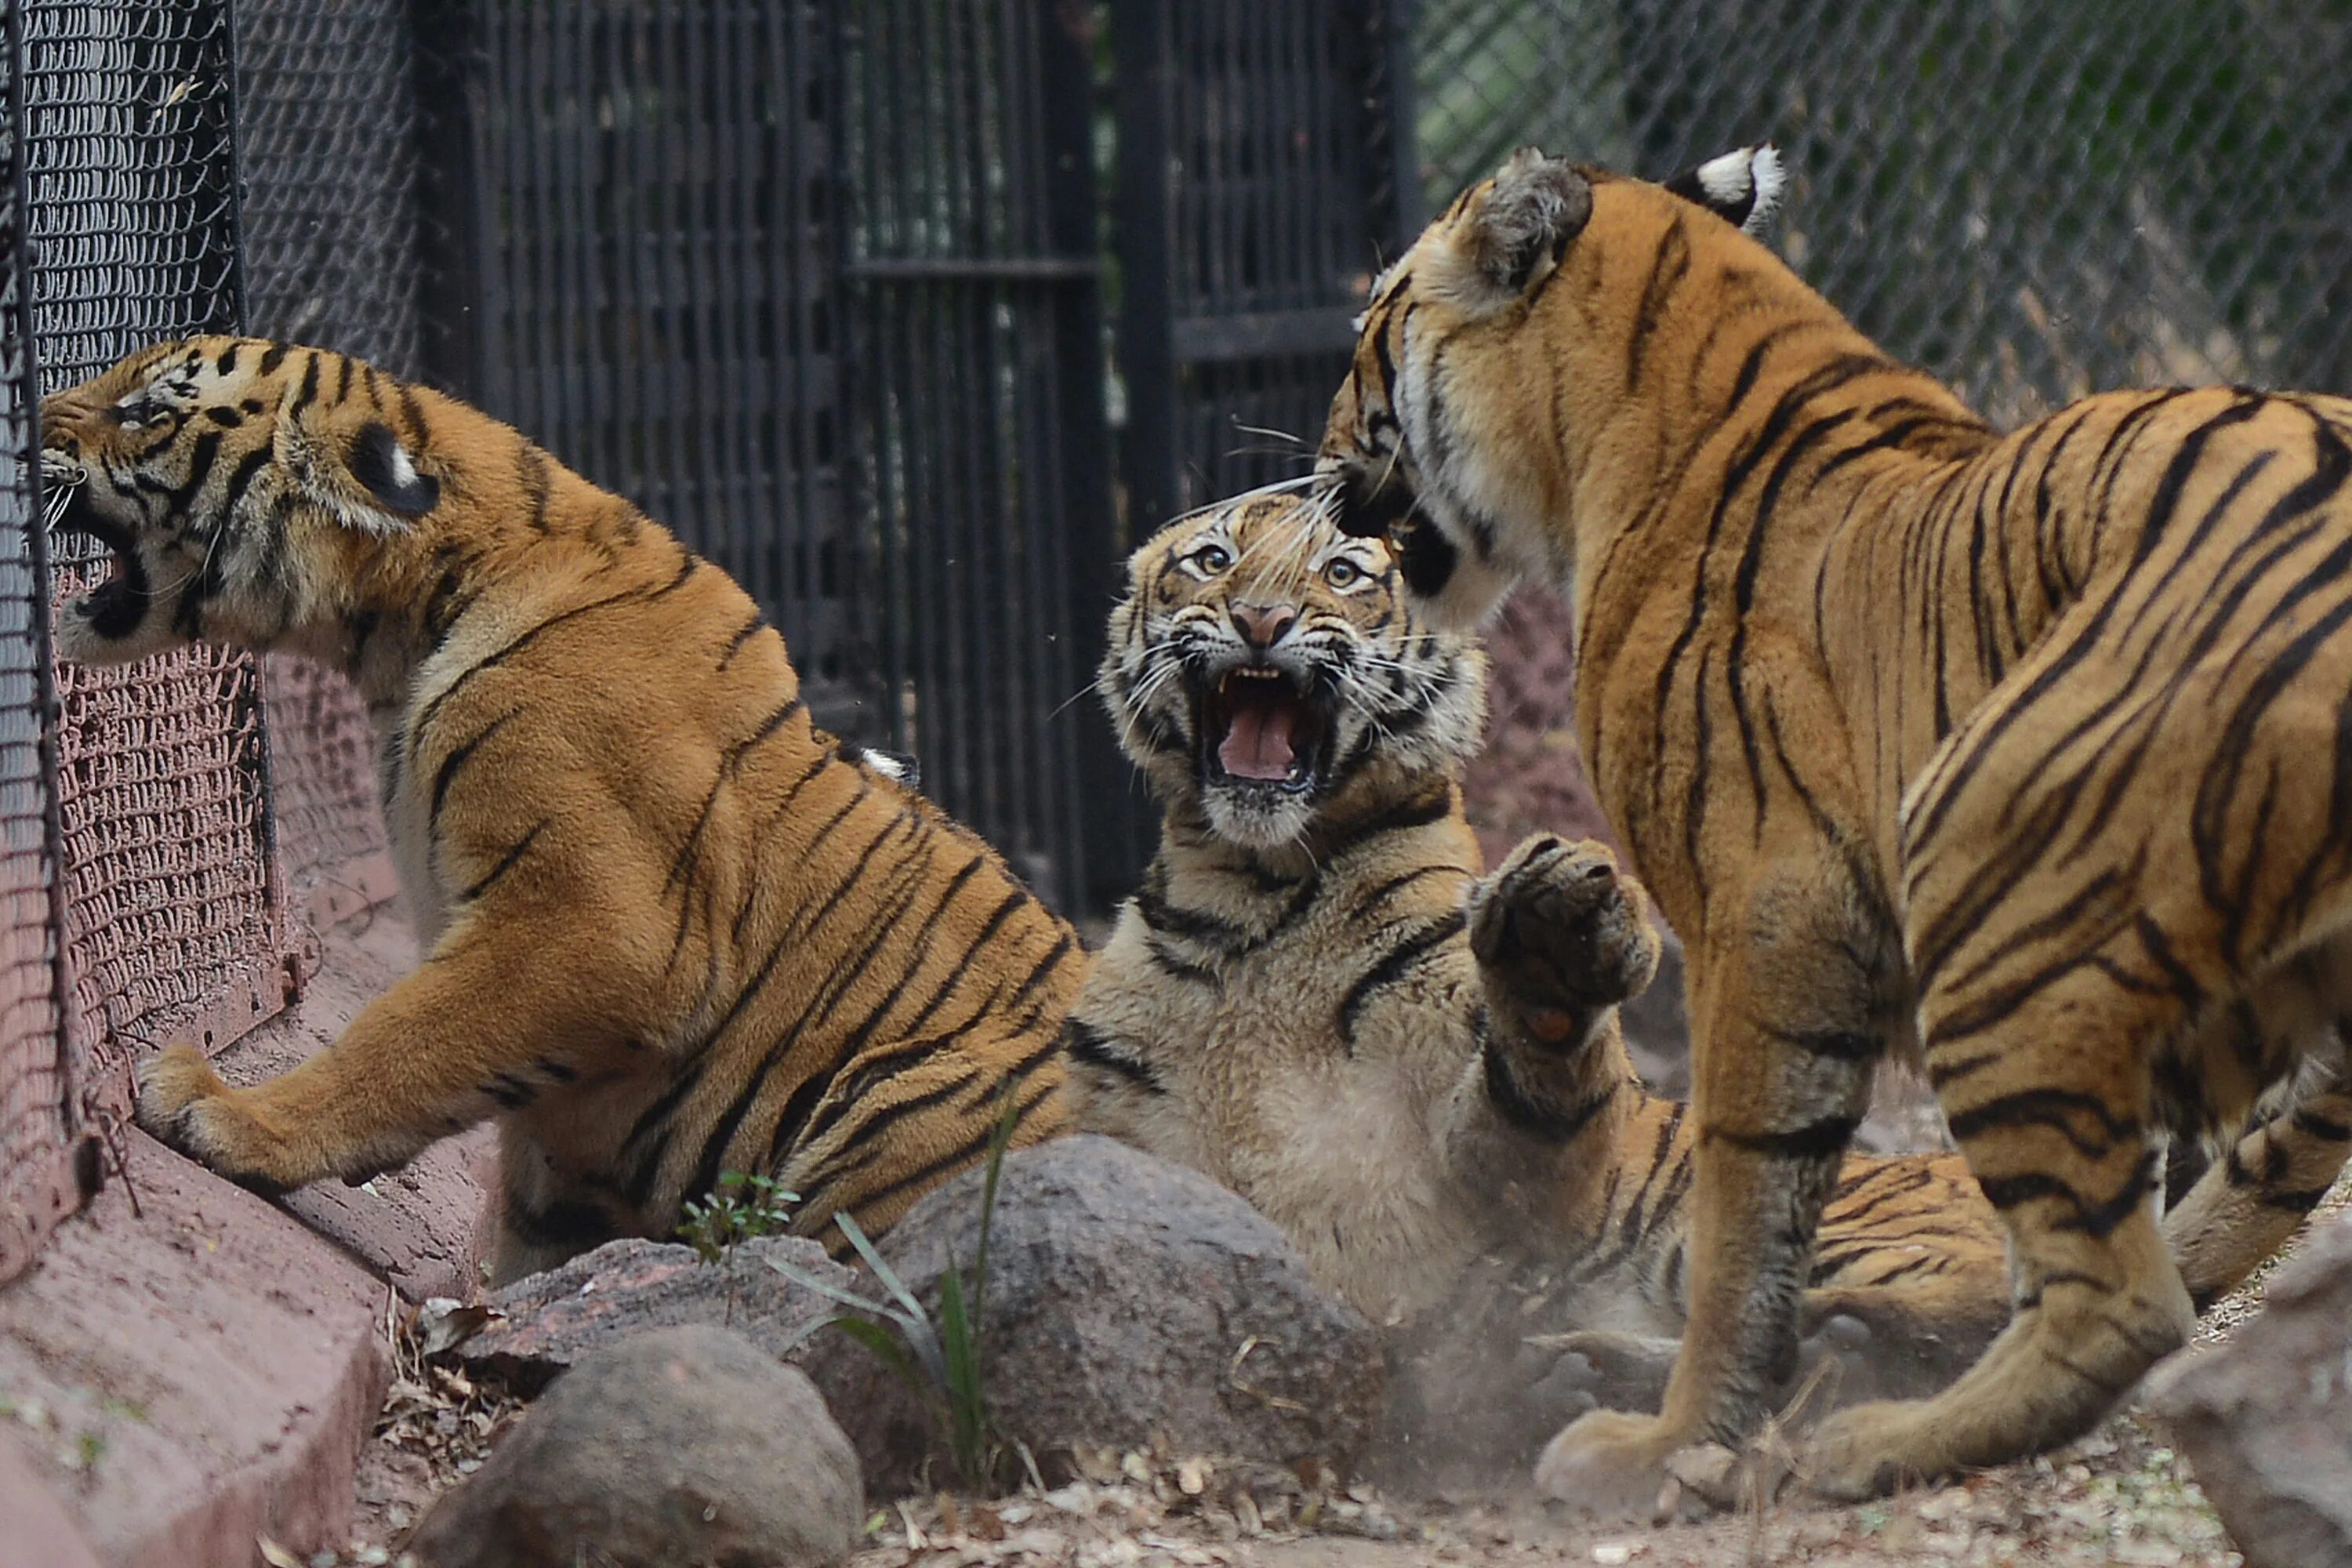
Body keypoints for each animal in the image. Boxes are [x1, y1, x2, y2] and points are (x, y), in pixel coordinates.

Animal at [36, 338, 1082, 1279]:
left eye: (146, 408)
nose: (32, 419)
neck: (404, 629)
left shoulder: (595, 919)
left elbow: (400, 1039)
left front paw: (229, 1112)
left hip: (911, 1103)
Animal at [1073, 486, 2023, 1476]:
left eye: (1340, 571)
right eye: (1214, 560)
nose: (1261, 619)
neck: (1255, 891)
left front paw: (1551, 957)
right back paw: (1566, 1371)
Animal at [1327, 147, 2352, 1504]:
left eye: (1367, 331)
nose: (1323, 473)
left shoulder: (1765, 917)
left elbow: (1742, 1210)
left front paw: (1671, 1444)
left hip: (1991, 877)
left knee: (2124, 1302)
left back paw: (1866, 1441)